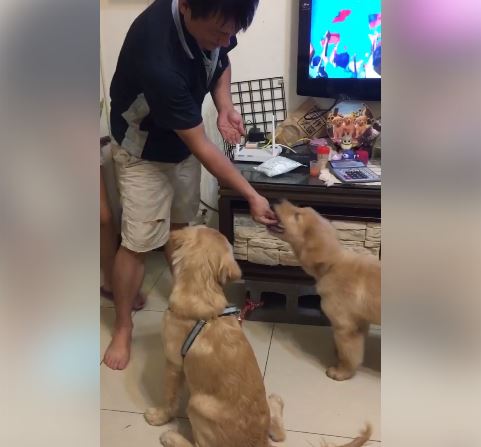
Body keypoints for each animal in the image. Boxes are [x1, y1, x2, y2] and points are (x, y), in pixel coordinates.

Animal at [144, 226, 286, 447]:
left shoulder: (173, 363)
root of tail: (259, 443)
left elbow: (169, 397)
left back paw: (171, 437)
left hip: (196, 405)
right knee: (279, 433)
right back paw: (275, 402)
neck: (202, 289)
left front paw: (159, 417)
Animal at [269, 202, 381, 382]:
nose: (276, 201)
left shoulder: (346, 326)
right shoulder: (360, 321)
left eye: (297, 216)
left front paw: (342, 372)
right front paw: (337, 352)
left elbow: (349, 353)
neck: (331, 265)